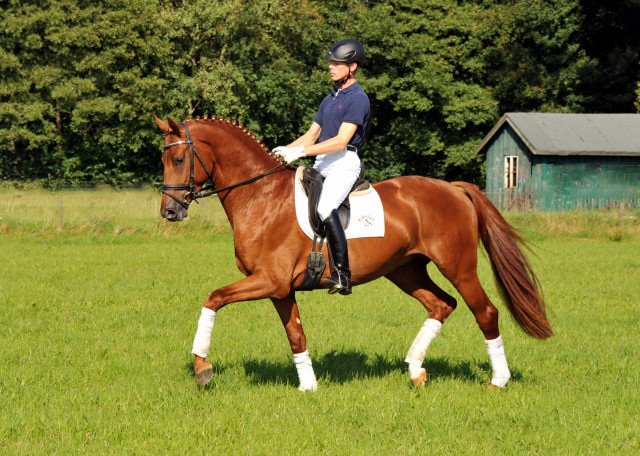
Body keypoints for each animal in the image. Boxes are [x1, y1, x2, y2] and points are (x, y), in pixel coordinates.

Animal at [155, 114, 552, 392]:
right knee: (442, 305)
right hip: (405, 269)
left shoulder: (268, 281)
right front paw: (308, 386)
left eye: (179, 159)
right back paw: (415, 370)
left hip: (458, 266)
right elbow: (296, 334)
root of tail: (453, 188)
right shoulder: (280, 288)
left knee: (484, 311)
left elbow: (213, 299)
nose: (170, 212)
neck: (260, 197)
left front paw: (202, 369)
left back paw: (498, 380)